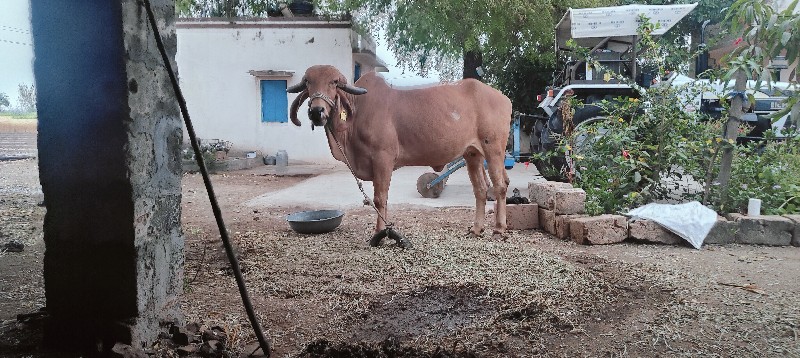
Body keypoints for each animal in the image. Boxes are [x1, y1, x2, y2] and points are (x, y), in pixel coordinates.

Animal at [288, 65, 512, 241]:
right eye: (308, 82)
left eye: (334, 82)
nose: (317, 112)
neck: (359, 111)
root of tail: (503, 98)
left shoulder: (382, 159)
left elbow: (380, 198)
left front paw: (380, 233)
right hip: (472, 154)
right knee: (481, 189)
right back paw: (476, 229)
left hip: (493, 149)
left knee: (500, 186)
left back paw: (499, 229)